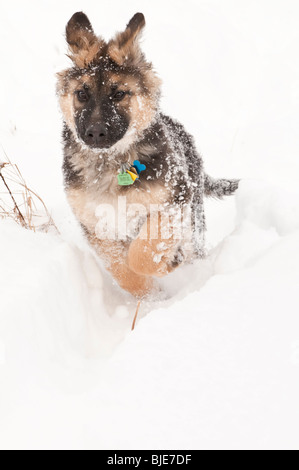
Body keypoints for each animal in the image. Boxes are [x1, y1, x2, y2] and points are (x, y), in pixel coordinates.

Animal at [56, 12, 239, 300]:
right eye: (82, 94)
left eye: (119, 94)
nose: (95, 134)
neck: (113, 164)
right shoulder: (97, 224)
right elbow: (122, 271)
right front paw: (150, 297)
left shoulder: (173, 200)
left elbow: (143, 253)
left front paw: (166, 263)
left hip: (193, 219)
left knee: (190, 249)